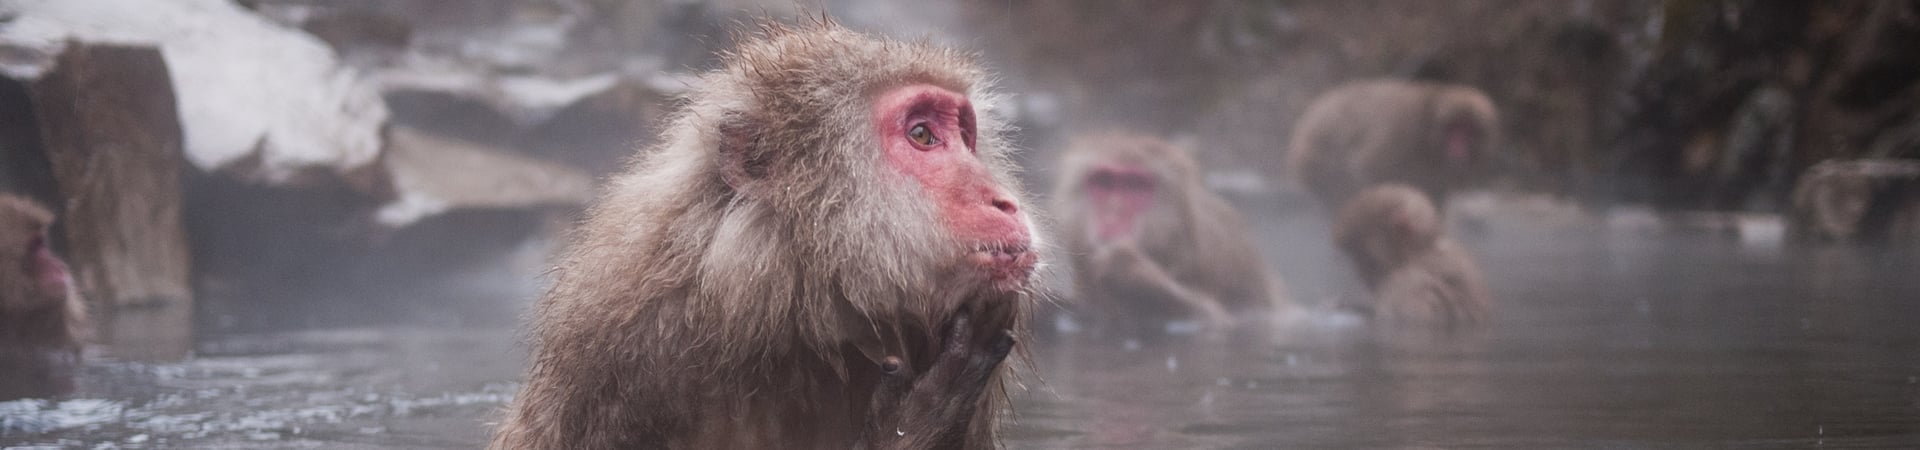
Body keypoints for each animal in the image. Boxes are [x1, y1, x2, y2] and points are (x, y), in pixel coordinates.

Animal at [489, 21, 1041, 449]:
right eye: (923, 134)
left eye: (965, 136)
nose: (1006, 202)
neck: (796, 308)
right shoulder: (620, 341)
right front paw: (916, 421)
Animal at [1285, 79, 1500, 211]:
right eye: (1453, 130)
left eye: (1468, 130)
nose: (1458, 147)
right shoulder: (1402, 131)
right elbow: (1369, 167)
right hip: (1317, 161)